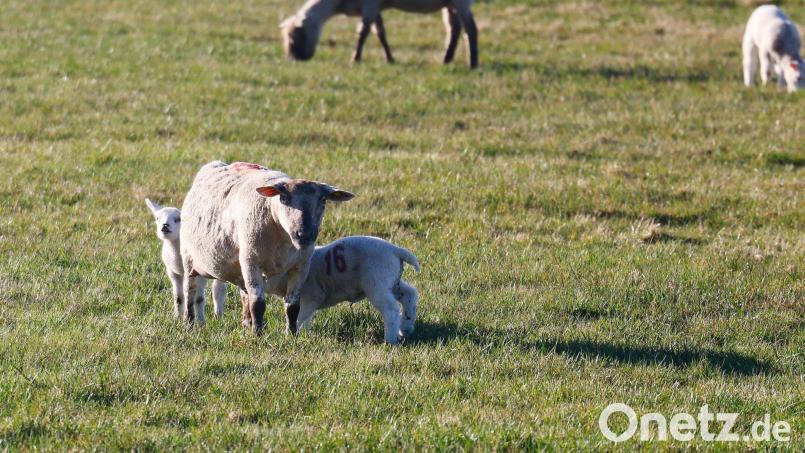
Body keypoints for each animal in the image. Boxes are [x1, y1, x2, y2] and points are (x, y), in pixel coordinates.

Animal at [179, 161, 354, 333]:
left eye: (323, 200)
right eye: (284, 198)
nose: (304, 235)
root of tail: (216, 164)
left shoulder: (301, 266)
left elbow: (292, 306)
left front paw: (291, 334)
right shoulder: (251, 261)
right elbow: (258, 304)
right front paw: (258, 334)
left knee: (245, 295)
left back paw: (247, 323)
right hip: (188, 256)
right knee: (190, 292)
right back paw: (189, 324)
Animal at [242, 236, 420, 344]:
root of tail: (396, 250)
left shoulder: (311, 296)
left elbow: (301, 317)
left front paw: (296, 334)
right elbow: (304, 318)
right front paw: (304, 335)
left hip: (377, 284)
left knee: (391, 309)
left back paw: (390, 339)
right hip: (392, 282)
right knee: (410, 295)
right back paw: (406, 328)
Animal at [281, 0, 478, 68]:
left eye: (292, 38)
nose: (293, 58)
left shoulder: (370, 4)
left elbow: (363, 32)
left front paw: (355, 59)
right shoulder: (374, 8)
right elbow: (380, 33)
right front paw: (390, 59)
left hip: (461, 1)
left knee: (471, 29)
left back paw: (473, 63)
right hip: (450, 4)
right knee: (454, 29)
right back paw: (447, 59)